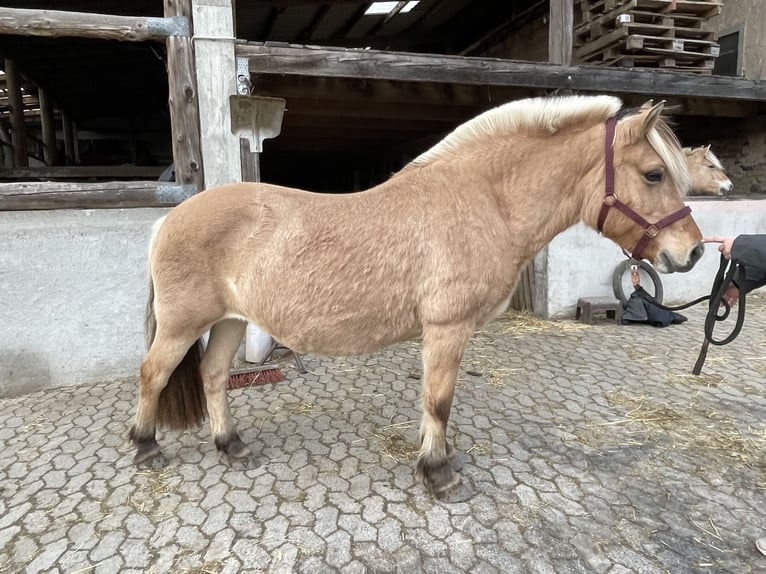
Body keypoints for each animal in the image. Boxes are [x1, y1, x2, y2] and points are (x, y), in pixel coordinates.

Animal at [130, 95, 704, 502]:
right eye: (654, 174)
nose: (694, 251)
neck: (483, 200)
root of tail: (167, 220)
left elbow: (437, 402)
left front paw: (441, 458)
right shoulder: (447, 329)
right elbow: (439, 400)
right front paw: (439, 474)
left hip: (228, 320)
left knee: (212, 376)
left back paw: (231, 446)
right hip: (184, 324)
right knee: (153, 374)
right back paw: (146, 447)